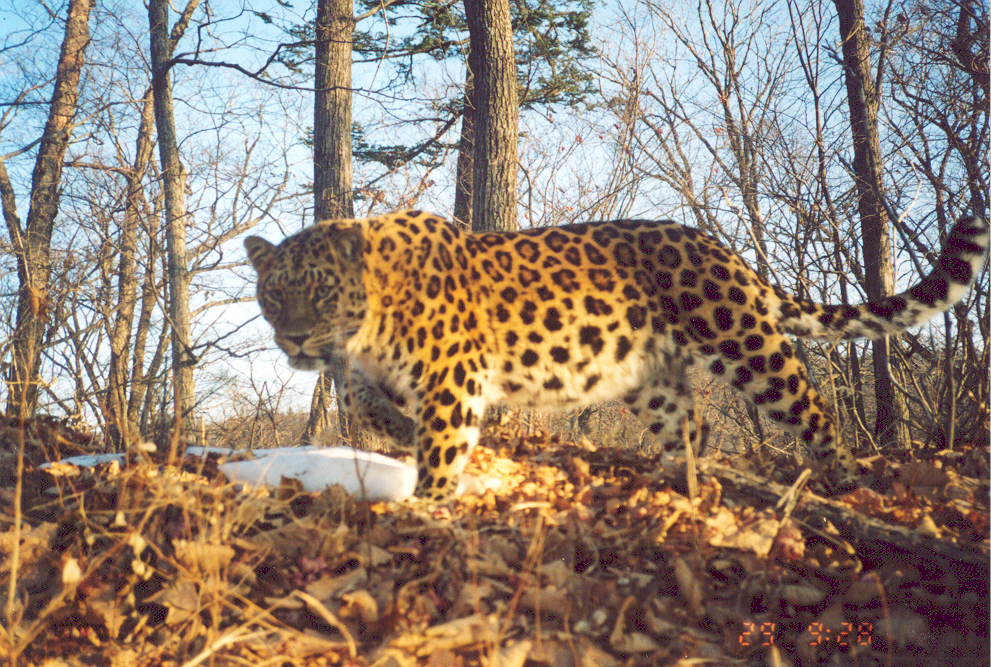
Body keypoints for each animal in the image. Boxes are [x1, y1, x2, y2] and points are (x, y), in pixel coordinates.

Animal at [244, 211, 988, 498]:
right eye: (274, 294)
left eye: (321, 290)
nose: (294, 340)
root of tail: (724, 251)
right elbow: (372, 407)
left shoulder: (453, 379)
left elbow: (440, 448)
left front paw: (426, 506)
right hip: (646, 377)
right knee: (693, 424)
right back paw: (676, 481)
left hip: (744, 341)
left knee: (813, 407)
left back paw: (840, 478)